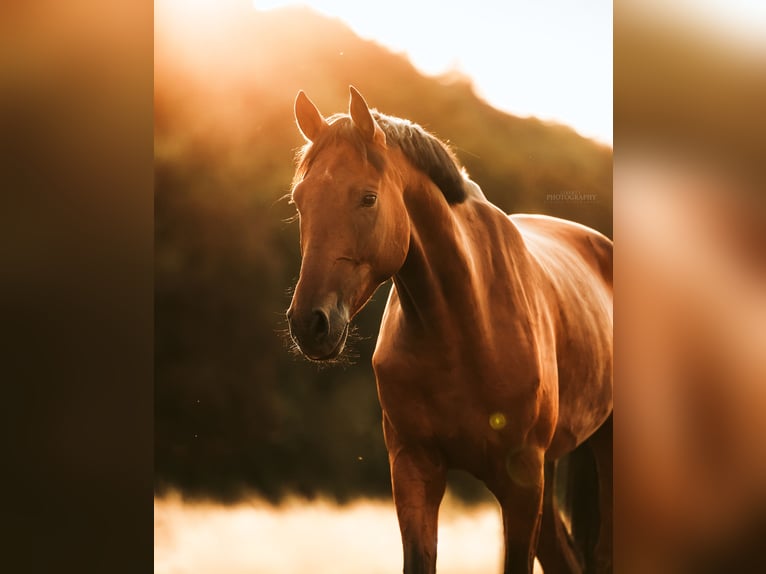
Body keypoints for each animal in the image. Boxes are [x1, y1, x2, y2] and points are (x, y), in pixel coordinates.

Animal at [285, 86, 613, 574]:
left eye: (367, 198)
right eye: (299, 200)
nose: (310, 323)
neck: (464, 326)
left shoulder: (521, 482)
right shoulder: (414, 469)